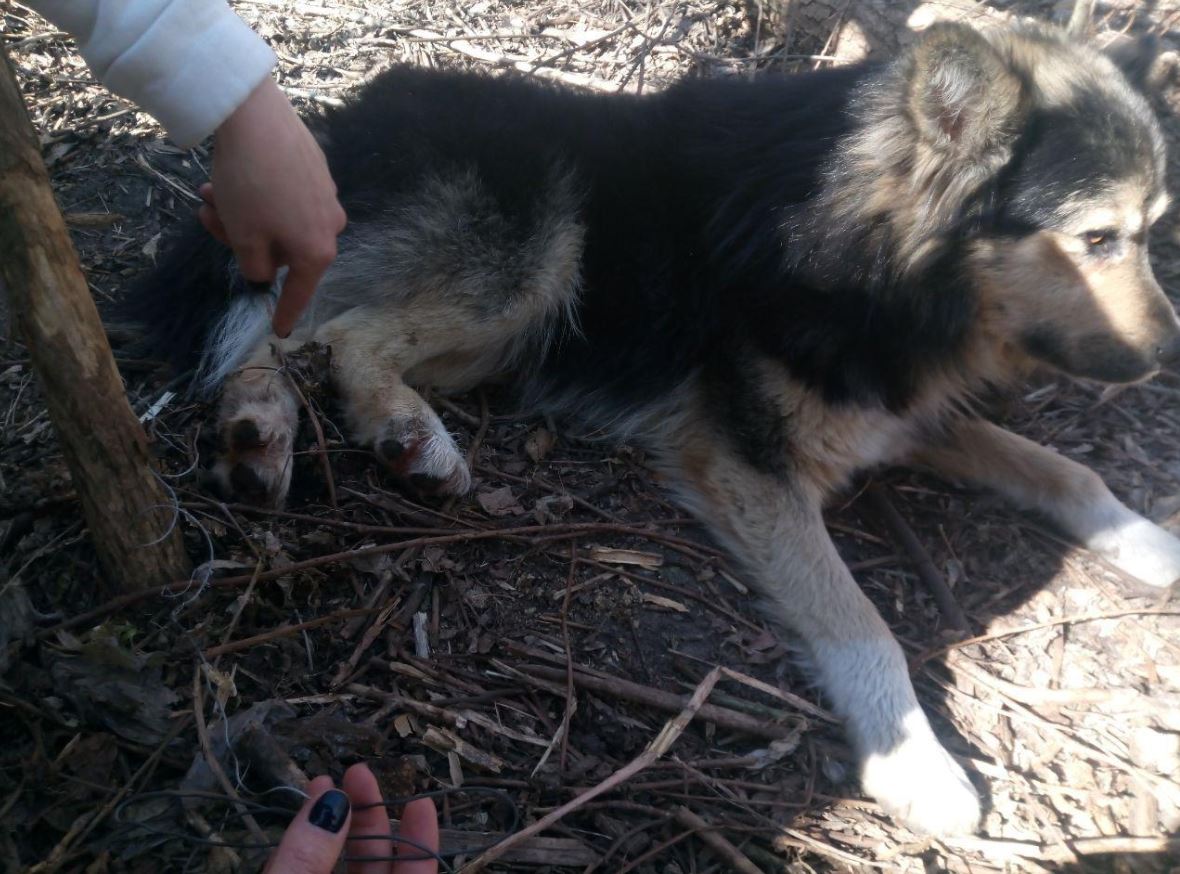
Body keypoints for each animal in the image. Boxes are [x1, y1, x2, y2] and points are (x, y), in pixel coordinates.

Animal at [126, 23, 1180, 835]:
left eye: (1151, 228)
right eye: (1096, 238)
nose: (1167, 354)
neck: (871, 250)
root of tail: (334, 123)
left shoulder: (891, 406)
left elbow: (1063, 469)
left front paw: (1149, 539)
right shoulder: (746, 453)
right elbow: (862, 621)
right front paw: (916, 762)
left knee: (281, 332)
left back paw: (261, 430)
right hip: (536, 254)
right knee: (324, 331)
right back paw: (400, 434)